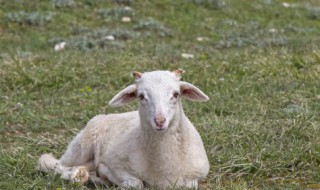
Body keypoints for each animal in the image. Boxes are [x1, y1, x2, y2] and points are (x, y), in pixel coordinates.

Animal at [37, 70, 210, 189]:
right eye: (141, 96)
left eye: (176, 94)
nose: (160, 121)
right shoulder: (116, 163)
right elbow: (135, 183)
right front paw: (105, 174)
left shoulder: (196, 176)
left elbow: (190, 185)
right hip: (80, 147)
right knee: (53, 164)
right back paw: (77, 175)